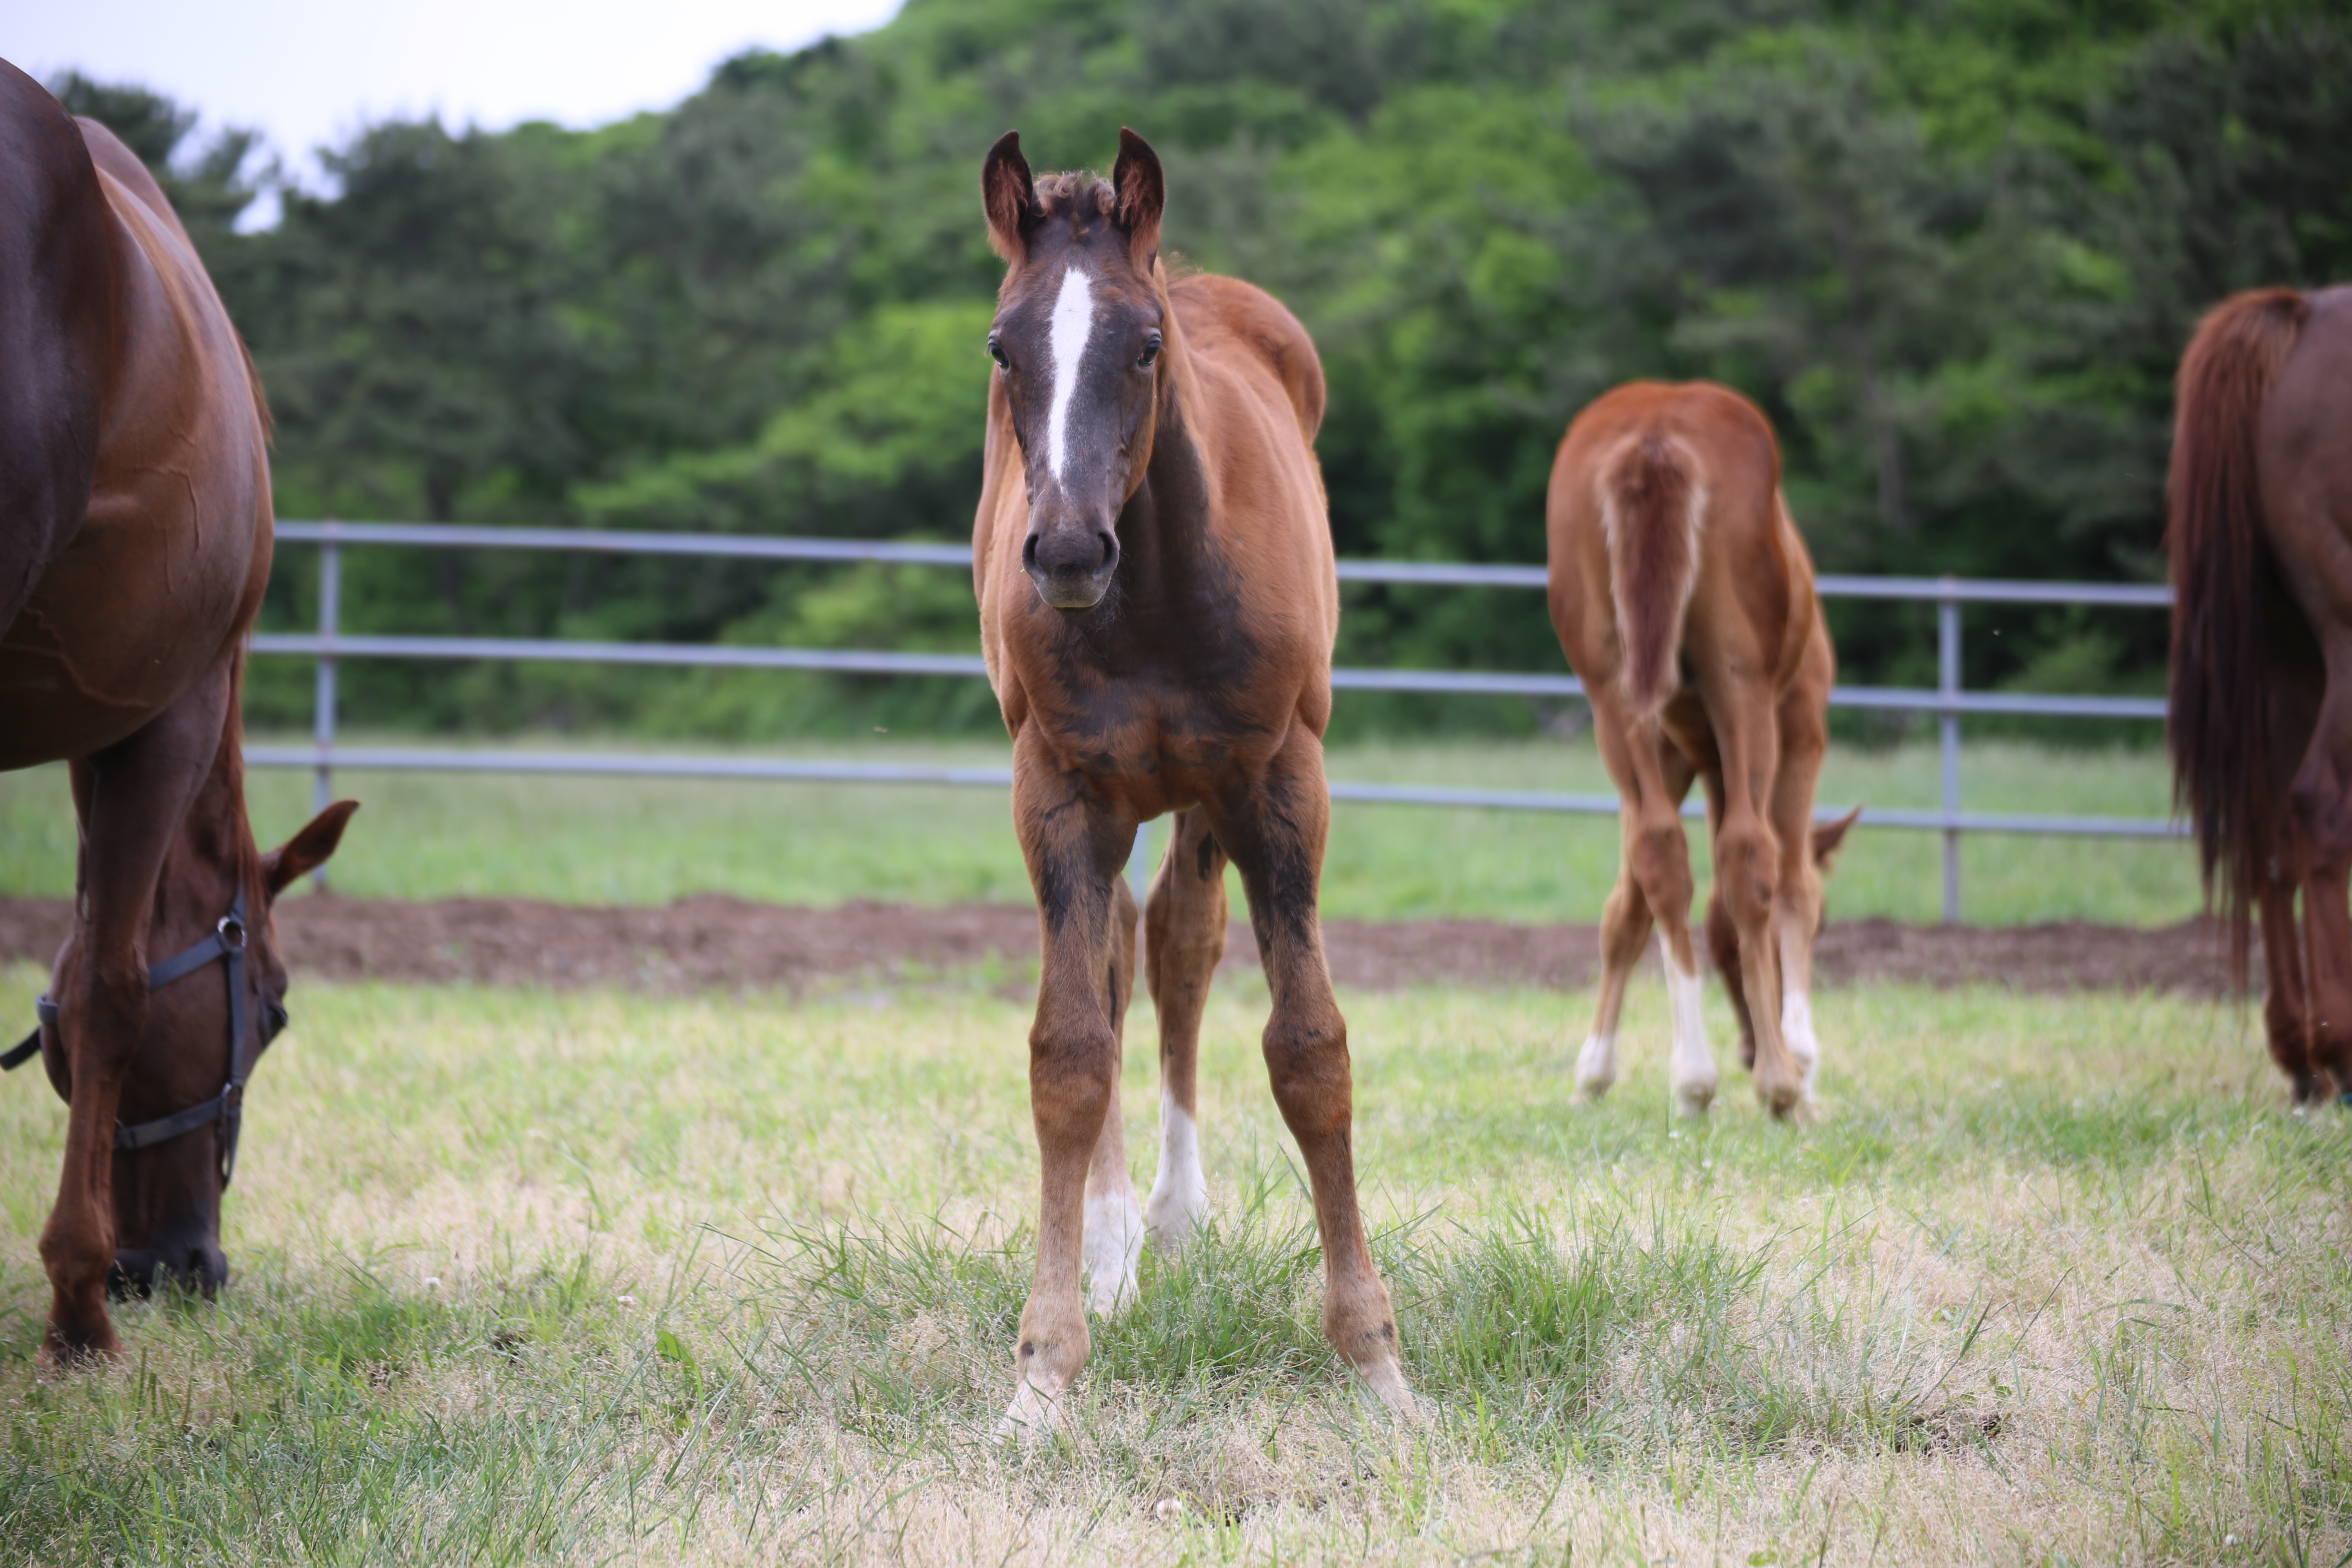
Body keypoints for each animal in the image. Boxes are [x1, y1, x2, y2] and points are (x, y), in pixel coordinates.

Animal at [973, 135, 1411, 1439]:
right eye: (1003, 347)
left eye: (1144, 344)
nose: (1068, 549)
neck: (1156, 597)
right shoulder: (1059, 792)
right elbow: (1068, 1050)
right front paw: (1043, 1370)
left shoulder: (1276, 782)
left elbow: (1310, 1051)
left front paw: (1377, 1363)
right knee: (1124, 957)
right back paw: (1117, 1244)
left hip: (1205, 798)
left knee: (1176, 943)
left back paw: (1170, 1216)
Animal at [1543, 381, 1853, 1123]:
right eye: (1830, 928)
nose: (1749, 1047)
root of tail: (1655, 439)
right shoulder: (1801, 728)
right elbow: (1794, 886)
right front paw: (1802, 1059)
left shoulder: (1675, 746)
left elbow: (1629, 904)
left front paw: (1594, 1072)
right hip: (1744, 690)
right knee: (1750, 854)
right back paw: (1771, 1084)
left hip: (1614, 696)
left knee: (1660, 852)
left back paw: (1694, 1077)